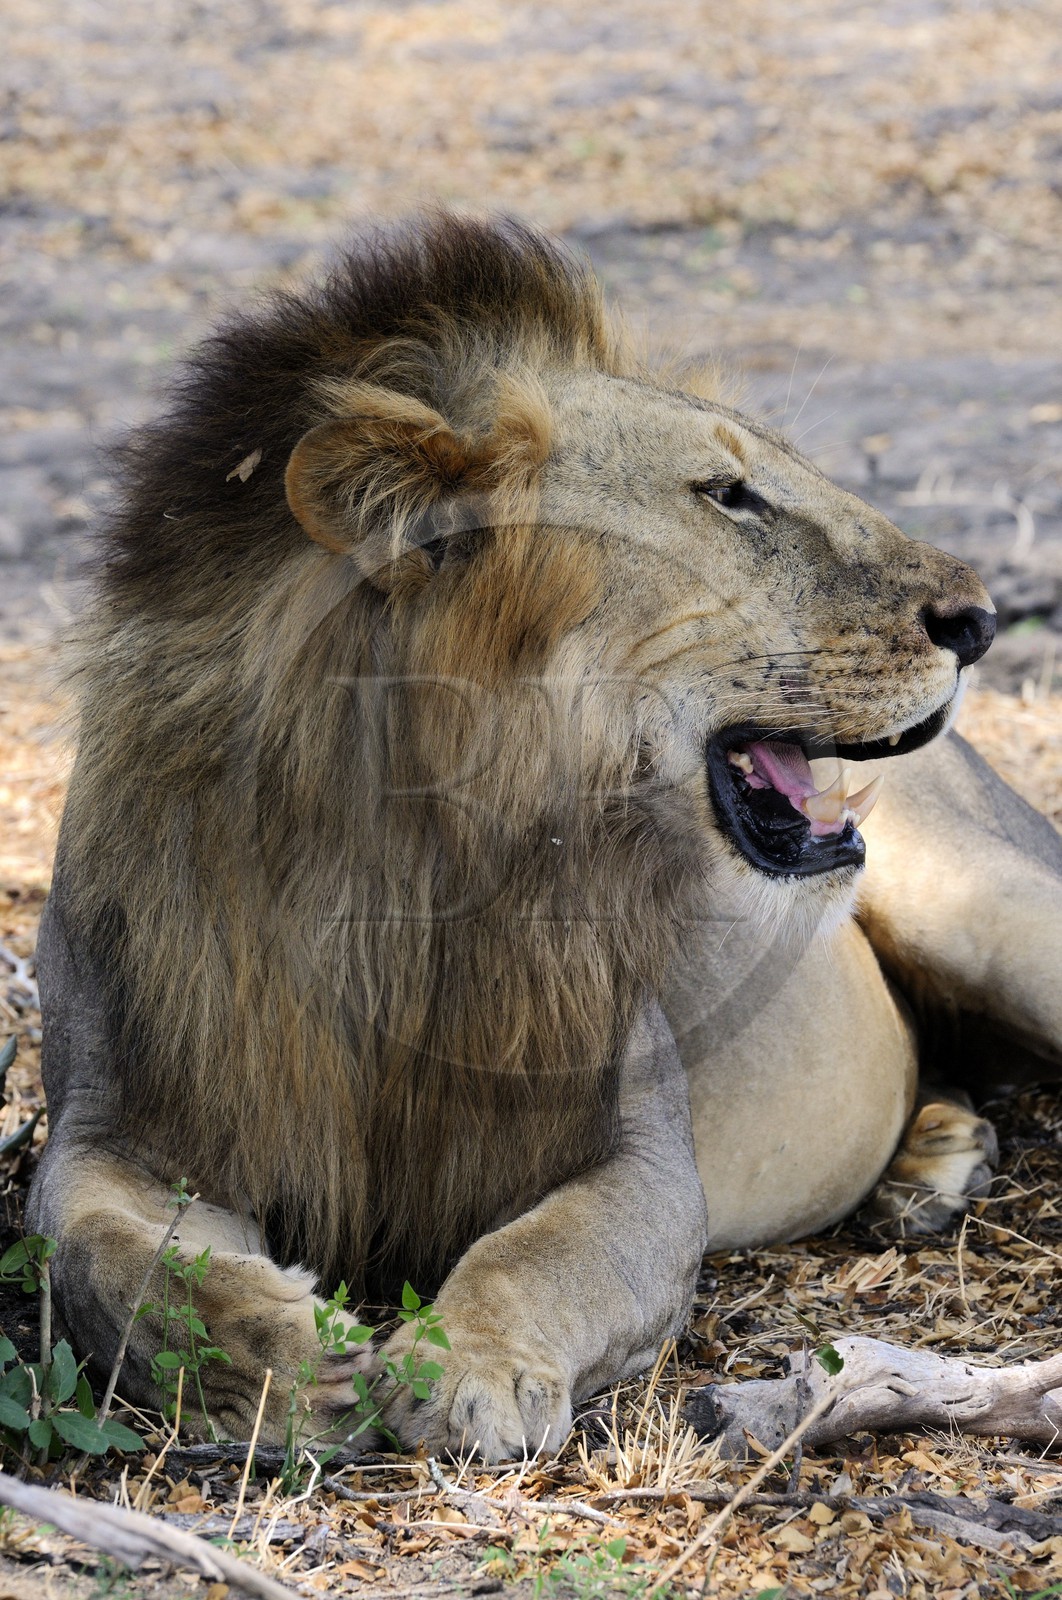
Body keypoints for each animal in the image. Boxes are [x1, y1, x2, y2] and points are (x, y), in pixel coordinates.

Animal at [26, 213, 1062, 1461]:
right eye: (731, 495)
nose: (983, 621)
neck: (411, 867)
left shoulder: (642, 1156)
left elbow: (542, 1254)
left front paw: (470, 1363)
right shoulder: (117, 1119)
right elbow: (101, 1254)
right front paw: (272, 1358)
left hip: (997, 913)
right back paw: (933, 1161)